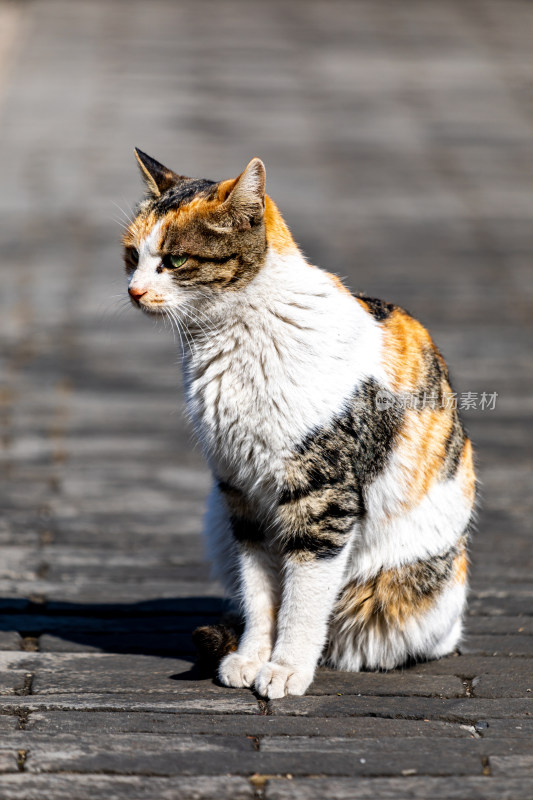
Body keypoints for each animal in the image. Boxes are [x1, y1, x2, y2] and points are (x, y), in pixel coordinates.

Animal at [123, 152, 474, 700]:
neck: (233, 337)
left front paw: (285, 669)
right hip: (216, 524)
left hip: (401, 599)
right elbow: (260, 592)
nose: (135, 290)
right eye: (131, 255)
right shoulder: (241, 496)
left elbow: (303, 596)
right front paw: (252, 659)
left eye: (175, 261)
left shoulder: (322, 497)